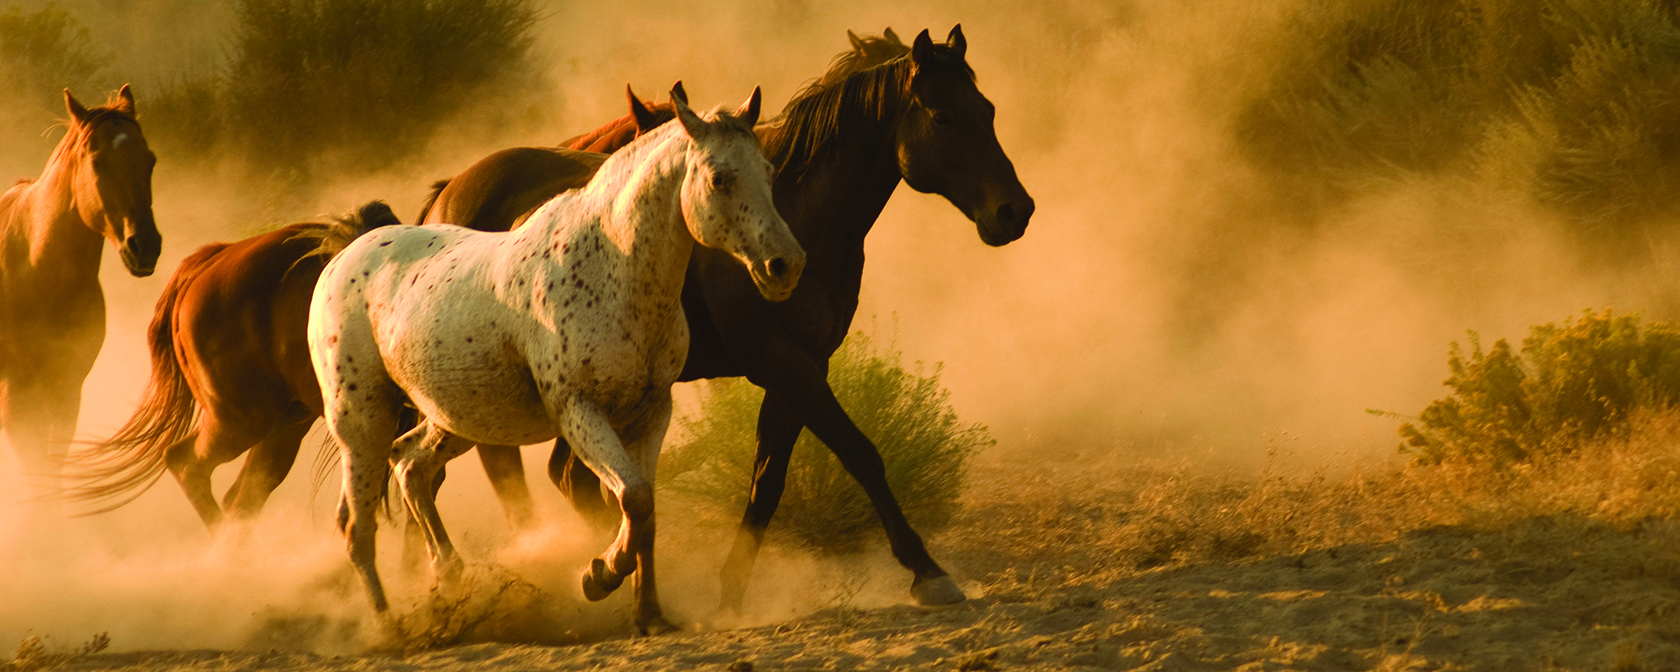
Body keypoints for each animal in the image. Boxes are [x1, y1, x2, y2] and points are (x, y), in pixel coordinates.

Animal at [317, 86, 809, 631]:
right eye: (720, 177)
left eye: (768, 171)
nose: (785, 266)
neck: (612, 268)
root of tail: (344, 259)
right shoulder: (579, 412)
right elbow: (633, 498)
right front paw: (599, 576)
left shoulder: (651, 412)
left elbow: (646, 510)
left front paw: (650, 614)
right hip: (362, 422)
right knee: (357, 525)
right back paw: (392, 628)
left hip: (457, 420)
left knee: (410, 467)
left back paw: (450, 576)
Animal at [420, 26, 1028, 624]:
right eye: (943, 117)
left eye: (990, 109)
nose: (1015, 212)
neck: (798, 209)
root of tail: (446, 196)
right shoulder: (780, 362)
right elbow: (860, 454)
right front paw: (928, 571)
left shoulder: (802, 366)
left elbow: (768, 481)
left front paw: (730, 591)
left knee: (565, 477)